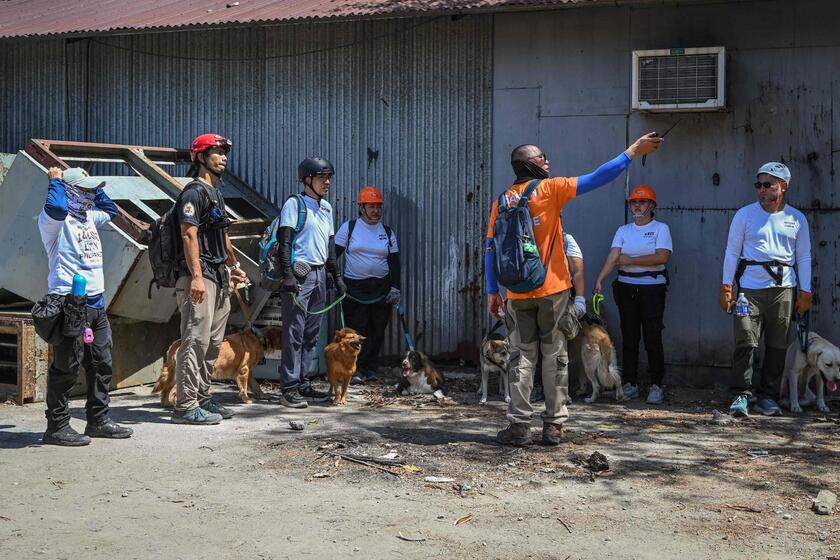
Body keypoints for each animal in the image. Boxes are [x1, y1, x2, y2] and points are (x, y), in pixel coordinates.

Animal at [151, 324, 282, 406]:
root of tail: (177, 342)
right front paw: (246, 400)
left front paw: (263, 395)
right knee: (174, 391)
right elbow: (244, 388)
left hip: (174, 373)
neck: (259, 338)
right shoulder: (244, 371)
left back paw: (167, 404)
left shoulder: (248, 372)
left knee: (166, 390)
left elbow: (256, 385)